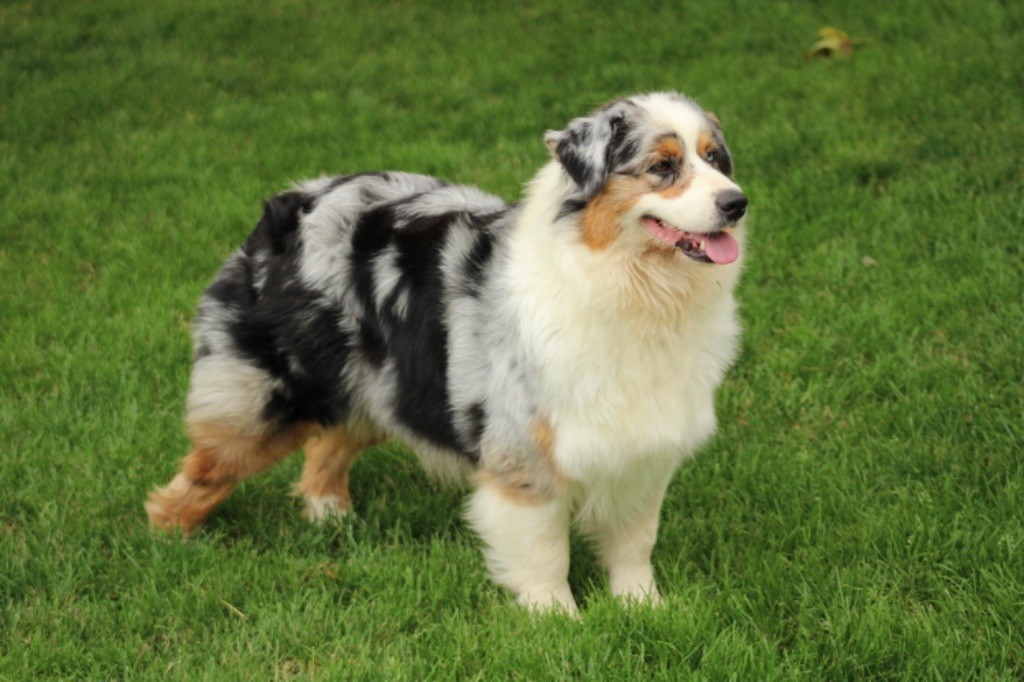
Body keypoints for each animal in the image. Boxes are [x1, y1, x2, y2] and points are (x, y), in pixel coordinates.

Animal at [144, 90, 749, 610]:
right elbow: (545, 554)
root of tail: (291, 201)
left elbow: (633, 543)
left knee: (328, 446)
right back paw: (170, 544)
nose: (737, 203)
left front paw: (644, 610)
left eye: (715, 159)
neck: (633, 285)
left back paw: (332, 518)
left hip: (386, 385)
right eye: (663, 166)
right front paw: (558, 622)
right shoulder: (522, 456)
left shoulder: (641, 446)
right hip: (269, 394)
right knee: (205, 470)